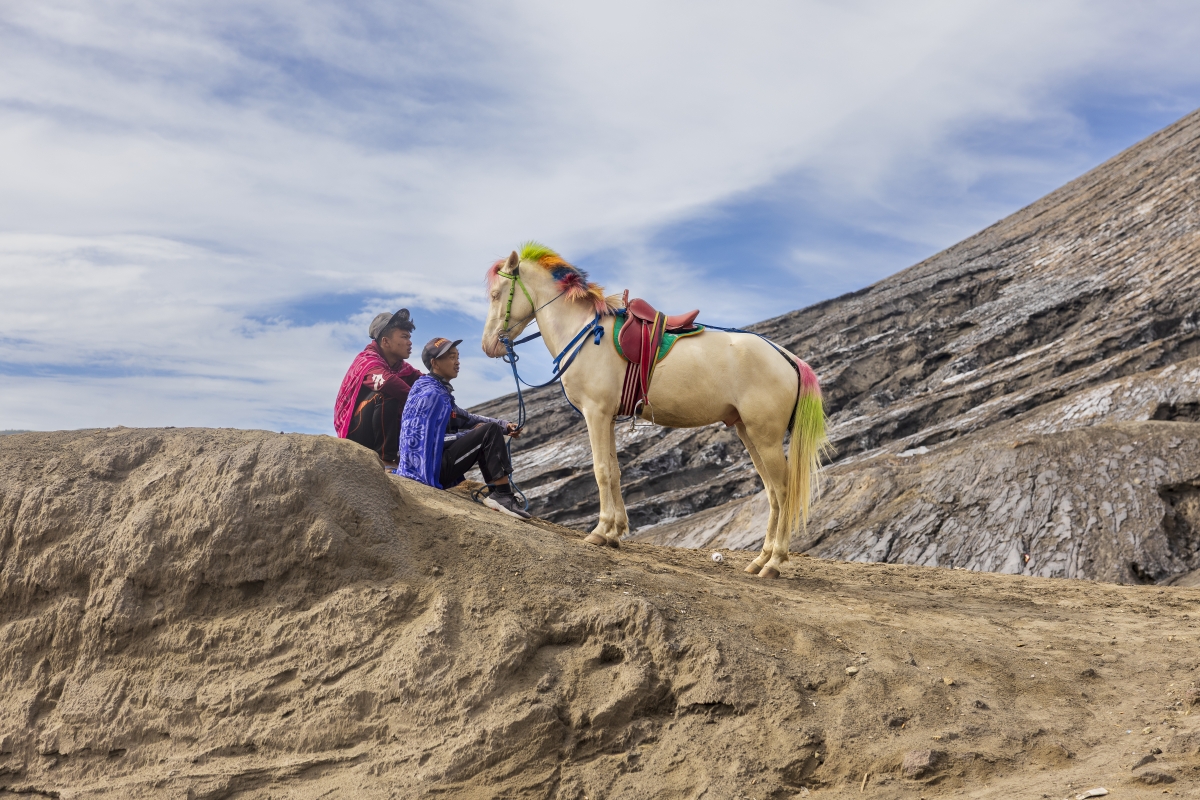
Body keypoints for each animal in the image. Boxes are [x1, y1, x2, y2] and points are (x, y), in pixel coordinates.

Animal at [481, 242, 830, 578]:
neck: (585, 333)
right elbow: (615, 471)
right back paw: (761, 559)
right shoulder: (607, 418)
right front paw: (615, 532)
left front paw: (600, 530)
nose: (488, 346)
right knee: (771, 492)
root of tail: (786, 356)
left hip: (765, 437)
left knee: (783, 490)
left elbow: (601, 470)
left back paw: (775, 562)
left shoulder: (595, 414)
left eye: (497, 294)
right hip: (748, 432)